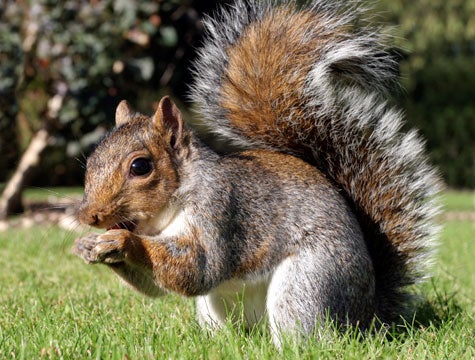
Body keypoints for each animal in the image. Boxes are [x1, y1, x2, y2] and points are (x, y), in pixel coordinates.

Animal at [73, 0, 442, 344]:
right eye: (91, 161)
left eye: (140, 167)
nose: (89, 215)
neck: (168, 211)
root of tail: (366, 315)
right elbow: (159, 287)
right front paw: (87, 246)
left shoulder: (222, 212)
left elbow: (200, 268)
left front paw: (123, 240)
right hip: (219, 308)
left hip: (307, 283)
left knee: (305, 334)